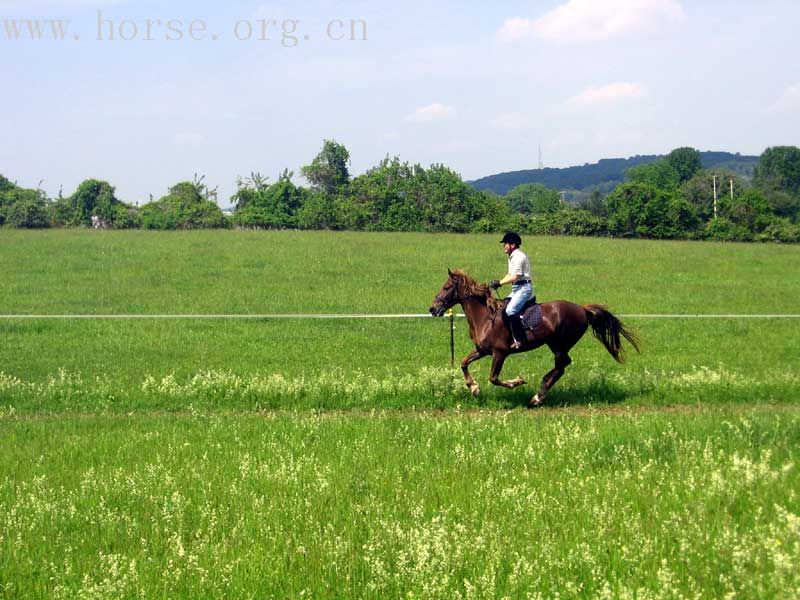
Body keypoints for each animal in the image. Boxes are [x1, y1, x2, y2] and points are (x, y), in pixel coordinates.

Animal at [428, 270, 640, 408]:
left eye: (447, 287)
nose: (433, 309)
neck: (485, 317)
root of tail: (581, 309)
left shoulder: (500, 353)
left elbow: (494, 378)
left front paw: (517, 382)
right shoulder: (482, 351)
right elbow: (464, 363)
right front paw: (474, 388)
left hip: (560, 344)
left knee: (561, 366)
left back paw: (538, 396)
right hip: (554, 344)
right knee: (561, 366)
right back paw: (541, 389)